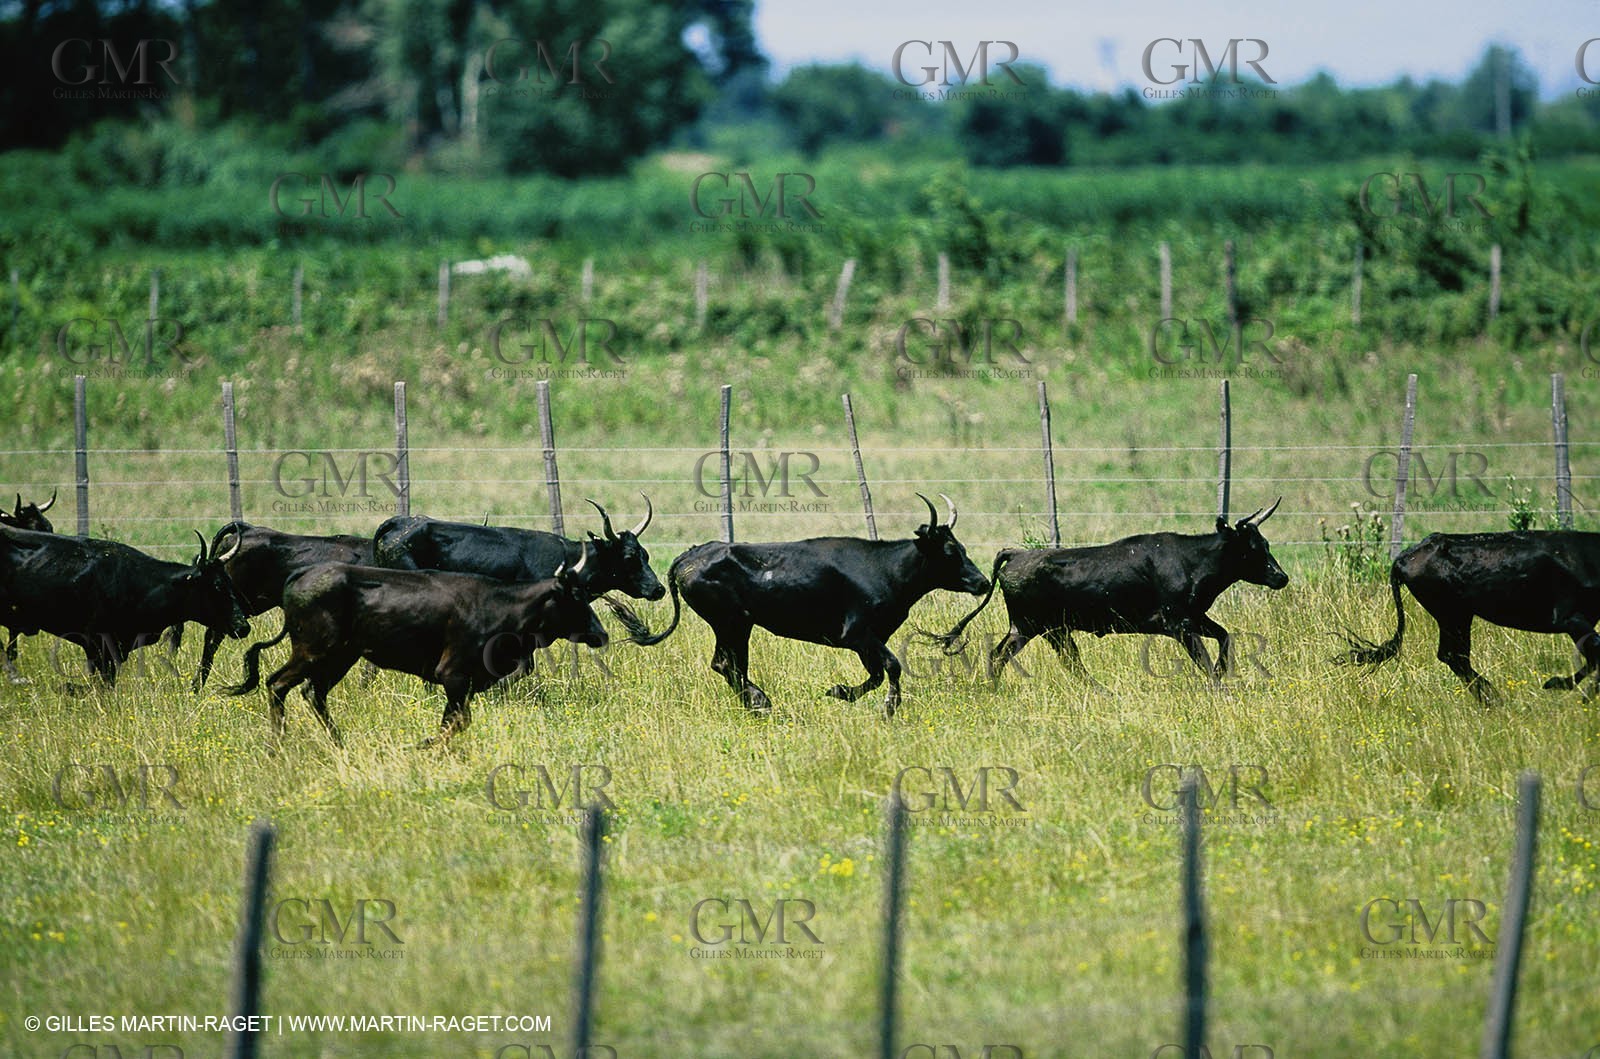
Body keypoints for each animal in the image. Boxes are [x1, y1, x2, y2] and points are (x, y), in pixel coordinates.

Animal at [225, 550, 607, 747]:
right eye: (576, 596)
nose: (601, 633)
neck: (502, 608)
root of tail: (302, 575)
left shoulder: (465, 684)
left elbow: (455, 721)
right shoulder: (453, 675)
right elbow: (458, 721)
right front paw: (424, 746)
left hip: (340, 657)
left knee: (312, 693)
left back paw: (339, 744)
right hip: (313, 651)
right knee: (278, 684)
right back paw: (277, 747)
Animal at [608, 494, 989, 717]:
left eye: (962, 547)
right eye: (949, 551)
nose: (983, 582)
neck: (886, 569)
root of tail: (692, 554)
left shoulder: (869, 640)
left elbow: (877, 673)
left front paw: (842, 692)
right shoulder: (856, 634)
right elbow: (892, 667)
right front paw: (886, 708)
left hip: (736, 625)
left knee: (728, 665)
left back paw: (757, 704)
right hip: (731, 622)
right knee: (727, 664)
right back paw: (761, 703)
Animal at [924, 501, 1288, 686]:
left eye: (1266, 542)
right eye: (1250, 549)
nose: (1281, 577)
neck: (1190, 561)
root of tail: (1016, 554)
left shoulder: (1195, 618)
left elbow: (1225, 637)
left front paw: (1222, 673)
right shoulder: (1179, 624)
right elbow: (1203, 658)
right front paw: (1217, 684)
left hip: (1042, 629)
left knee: (1017, 657)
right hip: (1036, 627)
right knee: (1015, 656)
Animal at [1338, 531, 1600, 704]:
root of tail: (1408, 555)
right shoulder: (1569, 618)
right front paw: (1565, 688)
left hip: (1457, 616)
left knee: (1454, 656)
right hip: (1452, 614)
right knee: (1453, 655)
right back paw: (1493, 699)